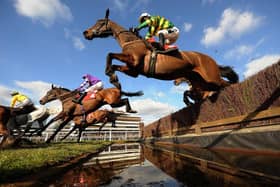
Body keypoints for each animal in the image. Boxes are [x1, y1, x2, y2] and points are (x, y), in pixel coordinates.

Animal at [82, 9, 238, 105]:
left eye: (100, 22)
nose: (86, 33)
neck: (130, 41)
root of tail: (210, 59)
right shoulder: (134, 71)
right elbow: (114, 64)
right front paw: (114, 79)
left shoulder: (134, 60)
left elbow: (109, 54)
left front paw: (112, 76)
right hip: (202, 82)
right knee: (220, 86)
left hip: (211, 77)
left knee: (227, 84)